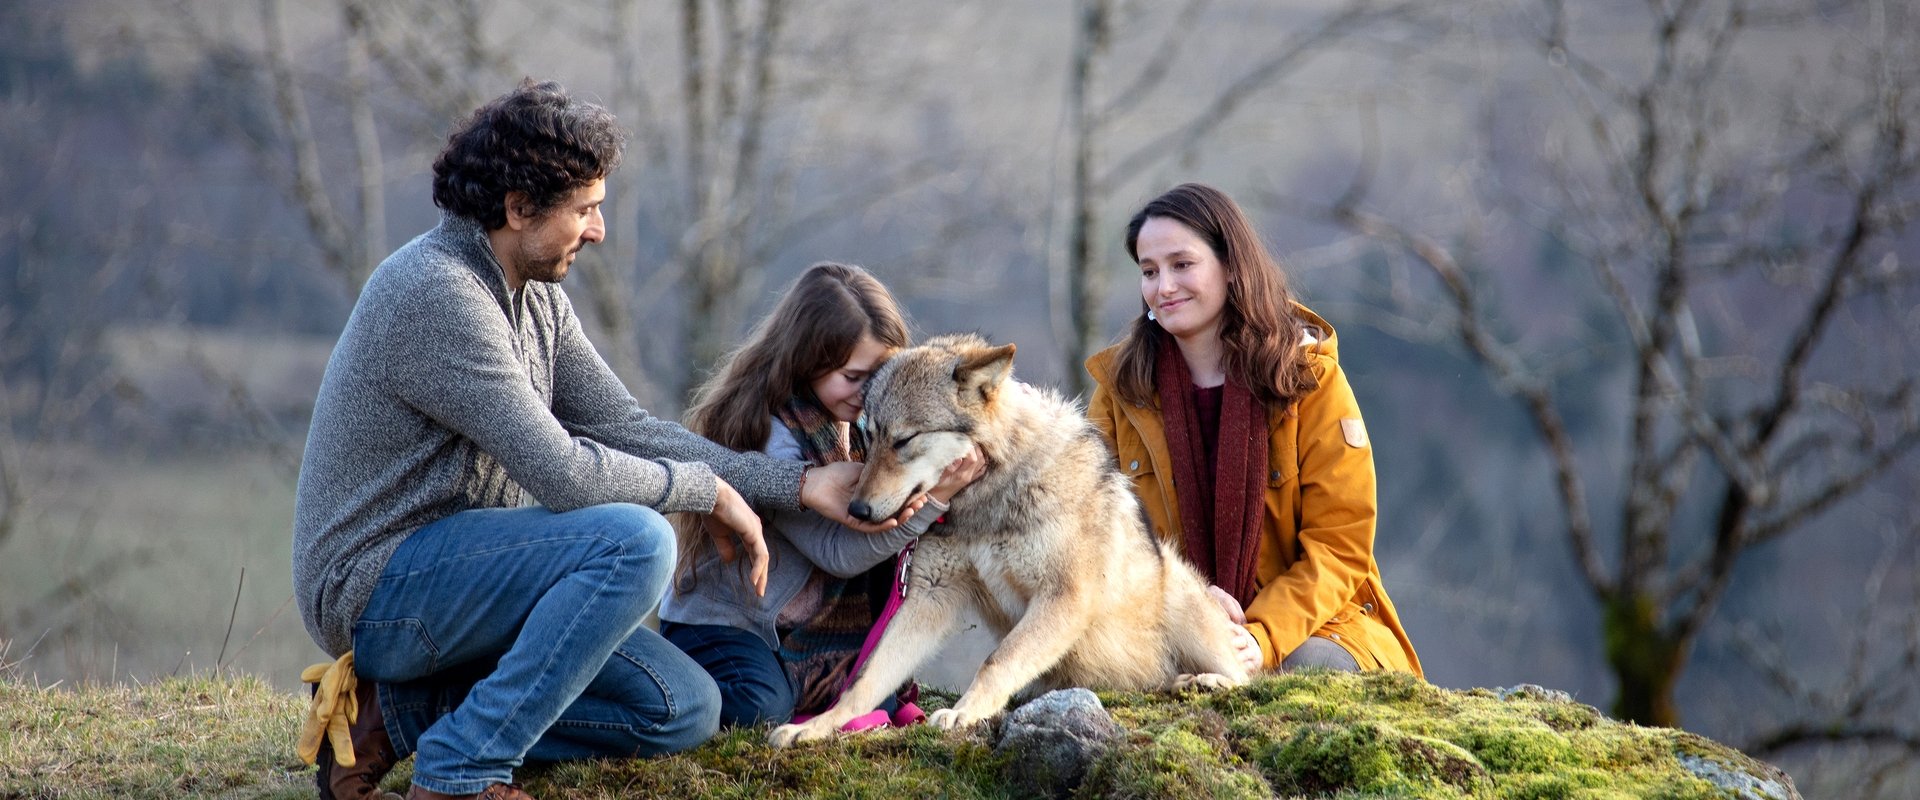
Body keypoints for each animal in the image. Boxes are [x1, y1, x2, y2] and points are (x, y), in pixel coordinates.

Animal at [764, 333, 1244, 744]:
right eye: (867, 435)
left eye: (904, 440)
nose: (857, 511)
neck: (987, 497)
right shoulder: (929, 594)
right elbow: (865, 679)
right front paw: (818, 726)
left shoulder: (1063, 595)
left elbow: (998, 660)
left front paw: (964, 713)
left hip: (1181, 597)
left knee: (1244, 673)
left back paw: (1204, 680)